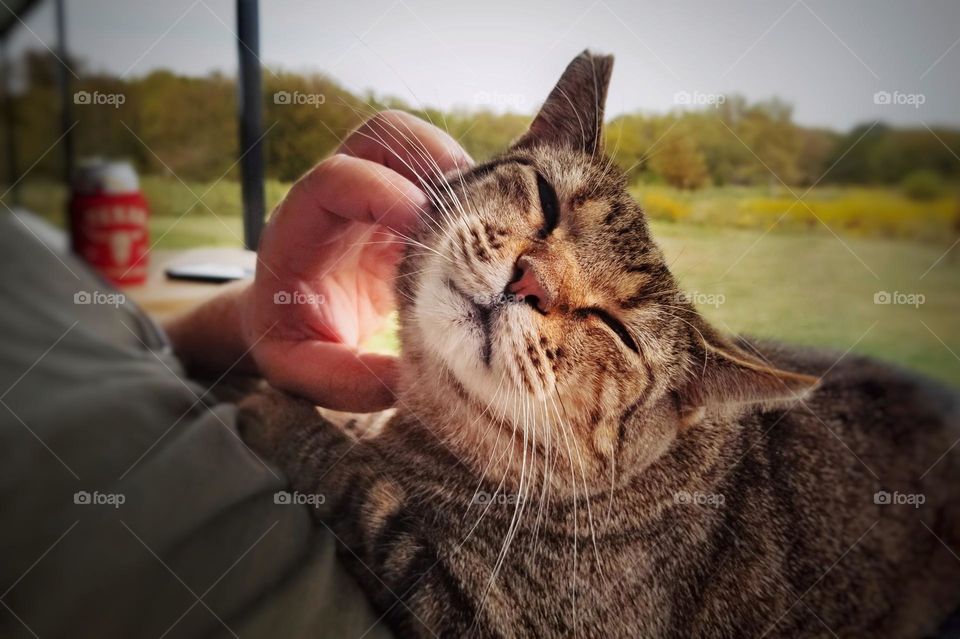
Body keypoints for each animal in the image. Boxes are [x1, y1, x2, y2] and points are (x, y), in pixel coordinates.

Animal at [242, 51, 960, 639]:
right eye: (547, 199)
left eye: (615, 328)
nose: (528, 282)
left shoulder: (476, 610)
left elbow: (360, 486)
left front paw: (280, 413)